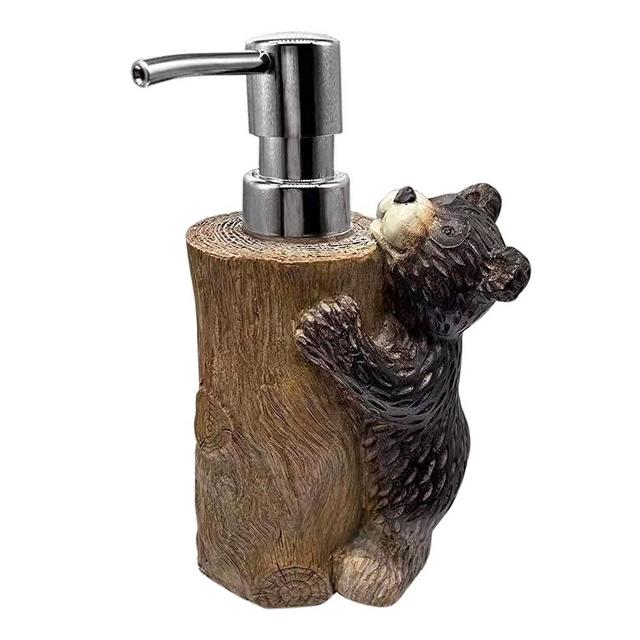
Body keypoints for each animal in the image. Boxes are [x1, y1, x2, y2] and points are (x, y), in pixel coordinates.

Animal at [295, 183, 530, 606]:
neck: (411, 318)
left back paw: (368, 571)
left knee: (396, 543)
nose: (406, 193)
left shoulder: (431, 368)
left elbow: (395, 387)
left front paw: (329, 326)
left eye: (449, 234)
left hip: (406, 505)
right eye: (445, 198)